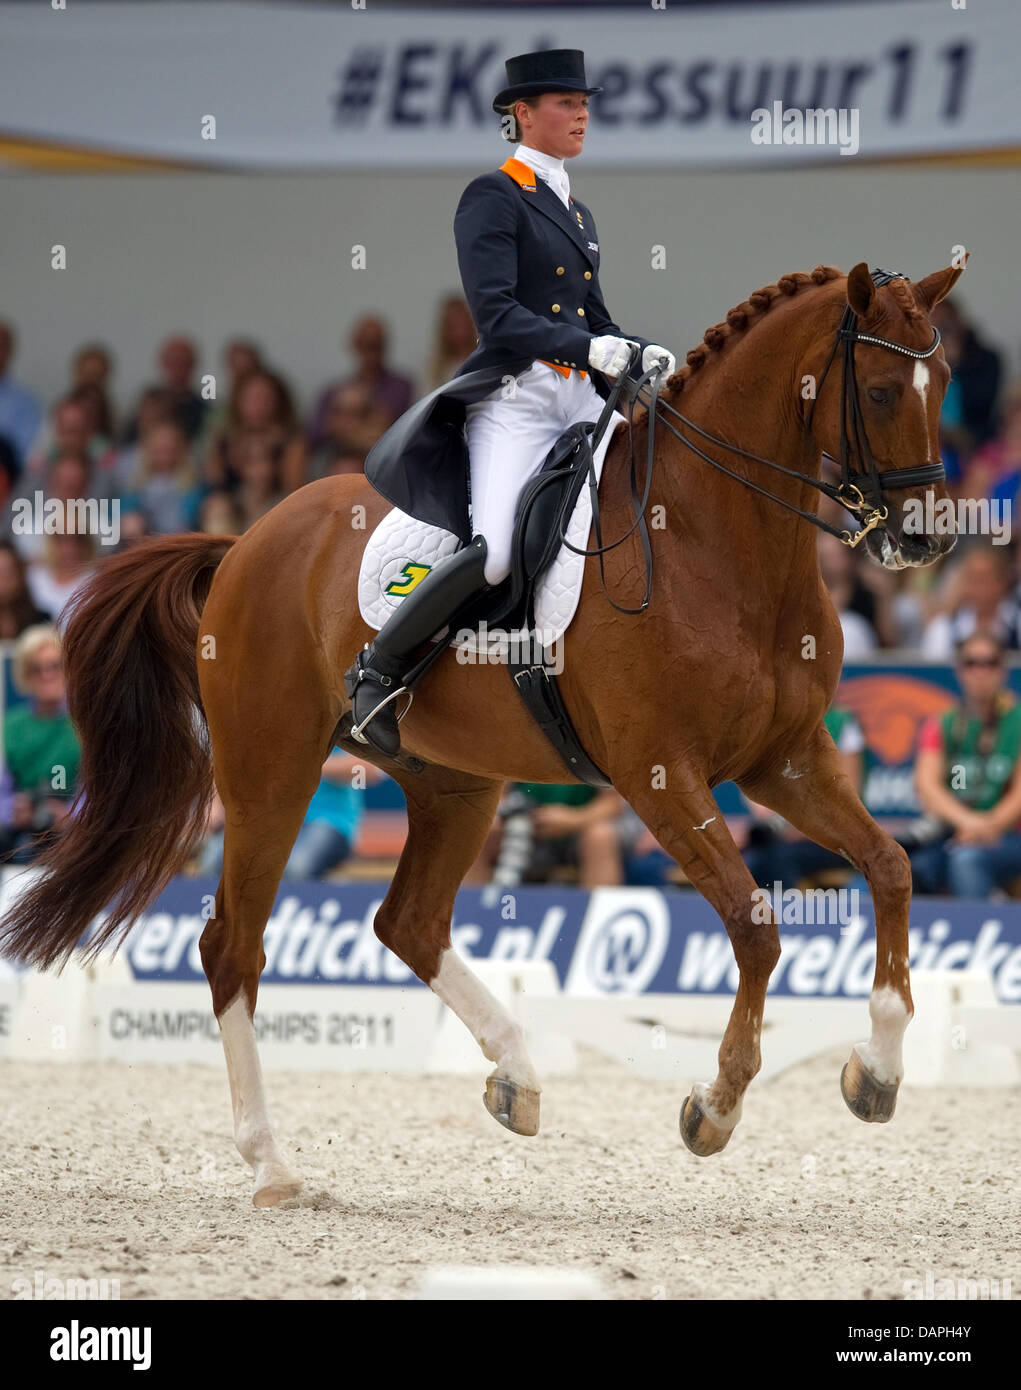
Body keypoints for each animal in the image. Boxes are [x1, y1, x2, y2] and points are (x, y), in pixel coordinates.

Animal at [0, 260, 962, 1207]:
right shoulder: (659, 772)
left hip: (453, 783)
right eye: (881, 391)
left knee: (407, 923)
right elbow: (754, 922)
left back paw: (517, 1078)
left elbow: (891, 869)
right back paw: (273, 1165)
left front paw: (876, 1073)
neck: (715, 543)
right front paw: (713, 1106)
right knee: (233, 945)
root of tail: (244, 542)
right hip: (270, 771)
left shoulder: (784, 761)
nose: (921, 541)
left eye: (946, 381)